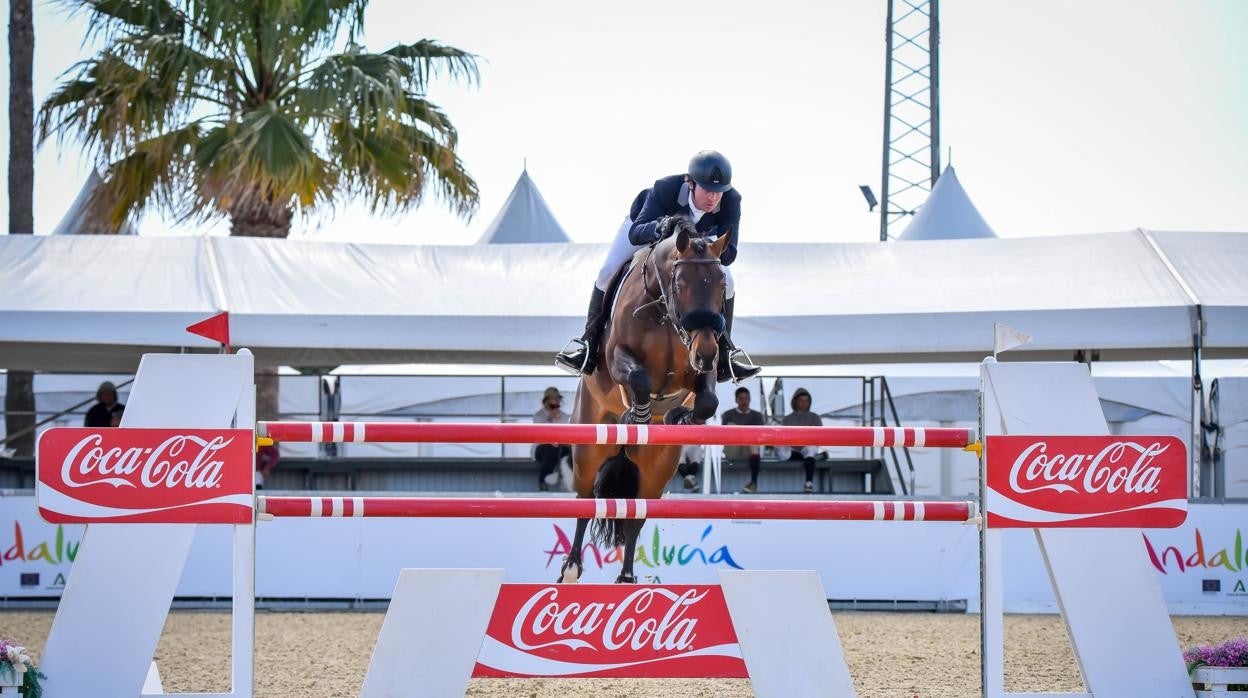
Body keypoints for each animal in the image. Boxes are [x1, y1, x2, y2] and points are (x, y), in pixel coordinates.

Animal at [559, 219, 728, 584]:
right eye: (681, 283)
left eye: (723, 285)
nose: (708, 353)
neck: (664, 312)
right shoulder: (618, 357)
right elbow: (639, 379)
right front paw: (637, 417)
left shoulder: (699, 370)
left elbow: (706, 401)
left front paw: (678, 417)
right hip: (589, 448)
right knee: (584, 501)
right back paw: (571, 569)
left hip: (656, 471)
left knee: (636, 515)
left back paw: (625, 579)